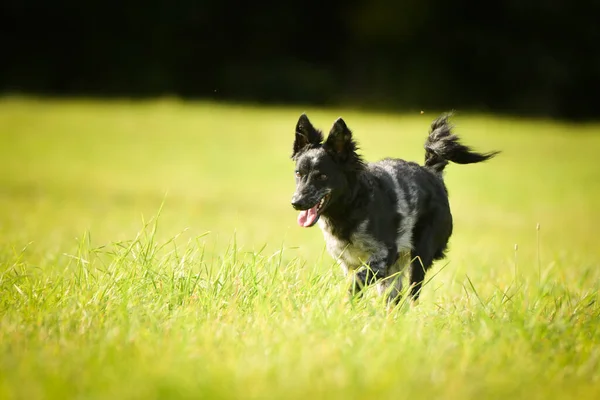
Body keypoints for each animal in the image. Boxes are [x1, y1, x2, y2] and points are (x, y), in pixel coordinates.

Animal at [290, 112, 496, 304]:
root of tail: (432, 172)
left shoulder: (383, 256)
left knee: (413, 294)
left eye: (322, 176)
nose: (296, 202)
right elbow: (356, 284)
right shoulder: (349, 262)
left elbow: (357, 281)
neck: (353, 206)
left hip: (419, 257)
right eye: (299, 173)